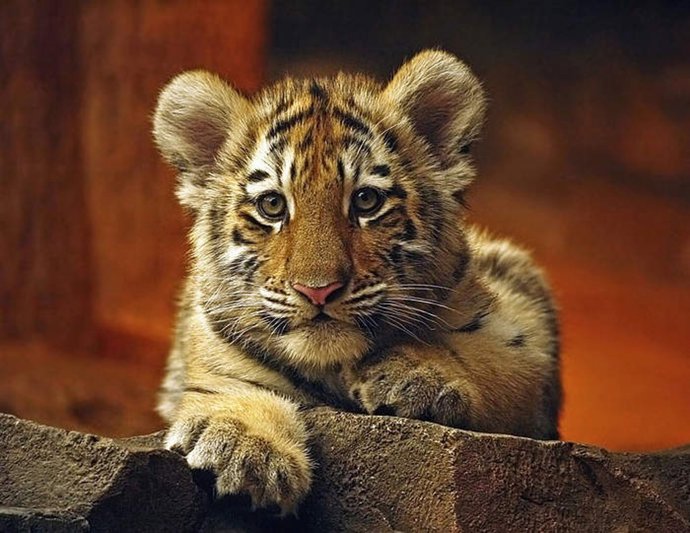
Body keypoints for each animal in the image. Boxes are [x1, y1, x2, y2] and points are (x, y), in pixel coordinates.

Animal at [152, 50, 561, 514]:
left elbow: (479, 353)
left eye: (366, 200)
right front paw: (243, 449)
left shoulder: (522, 338)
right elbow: (229, 382)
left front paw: (414, 376)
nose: (318, 290)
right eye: (272, 205)